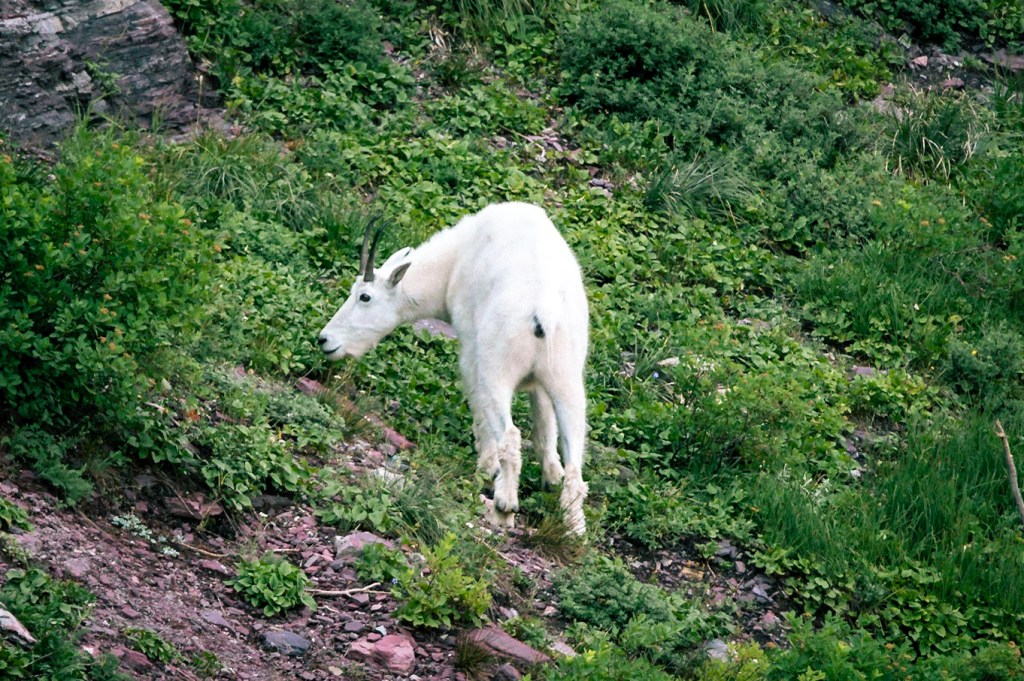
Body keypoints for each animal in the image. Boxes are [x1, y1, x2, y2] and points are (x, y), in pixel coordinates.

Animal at [318, 202, 589, 534]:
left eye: (364, 296)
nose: (325, 340)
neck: (454, 261)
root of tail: (544, 315)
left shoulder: (470, 347)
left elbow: (478, 406)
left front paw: (486, 466)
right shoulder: (539, 382)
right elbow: (544, 423)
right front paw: (551, 477)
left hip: (497, 368)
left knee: (509, 436)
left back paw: (504, 506)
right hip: (567, 377)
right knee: (575, 462)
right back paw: (575, 529)